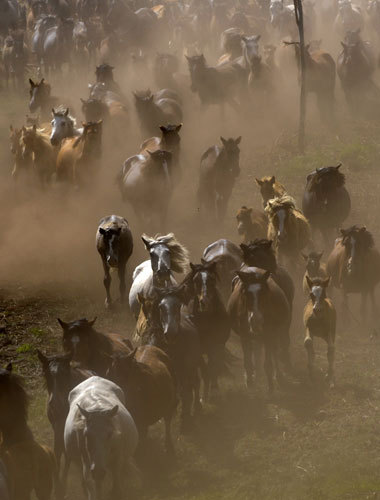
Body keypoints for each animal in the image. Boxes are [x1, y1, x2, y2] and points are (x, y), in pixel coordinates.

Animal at [183, 262, 229, 398]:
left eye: (212, 279)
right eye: (195, 280)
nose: (205, 302)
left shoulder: (217, 346)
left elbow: (213, 367)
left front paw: (213, 390)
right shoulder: (198, 351)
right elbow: (205, 370)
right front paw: (204, 396)